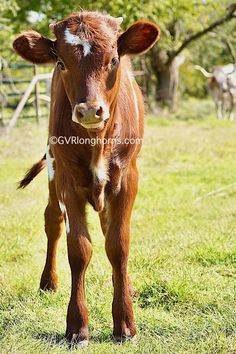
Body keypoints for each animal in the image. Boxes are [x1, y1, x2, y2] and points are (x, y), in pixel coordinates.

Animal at [13, 11, 160, 346]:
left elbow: (118, 244)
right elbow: (79, 249)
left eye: (114, 59)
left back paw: (126, 285)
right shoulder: (67, 181)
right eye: (61, 63)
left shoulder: (128, 179)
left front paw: (125, 323)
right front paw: (77, 326)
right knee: (52, 220)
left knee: (107, 228)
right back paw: (48, 281)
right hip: (53, 168)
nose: (91, 111)